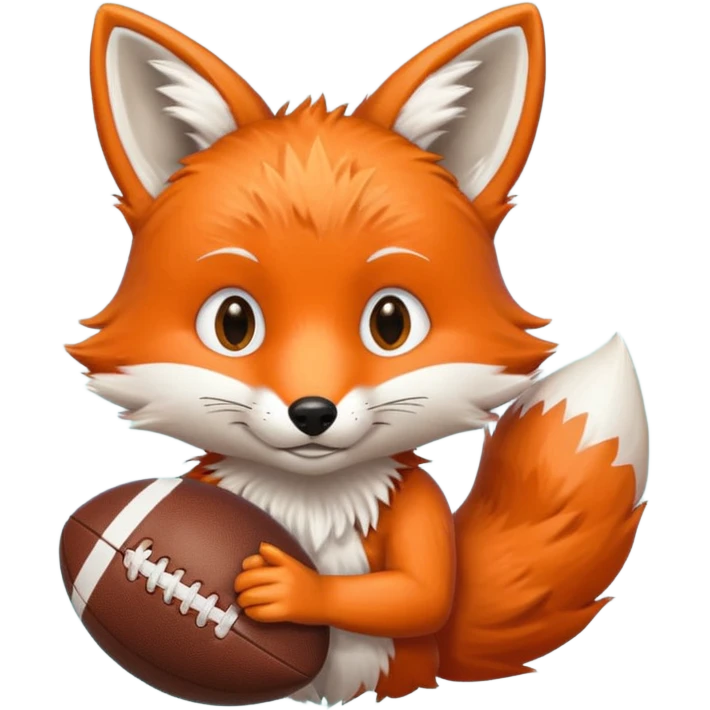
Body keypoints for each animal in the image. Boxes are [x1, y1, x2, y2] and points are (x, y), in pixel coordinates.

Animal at [67, 2, 651, 706]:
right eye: (234, 323)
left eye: (390, 322)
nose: (312, 412)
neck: (312, 499)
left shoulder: (417, 505)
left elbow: (420, 594)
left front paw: (296, 589)